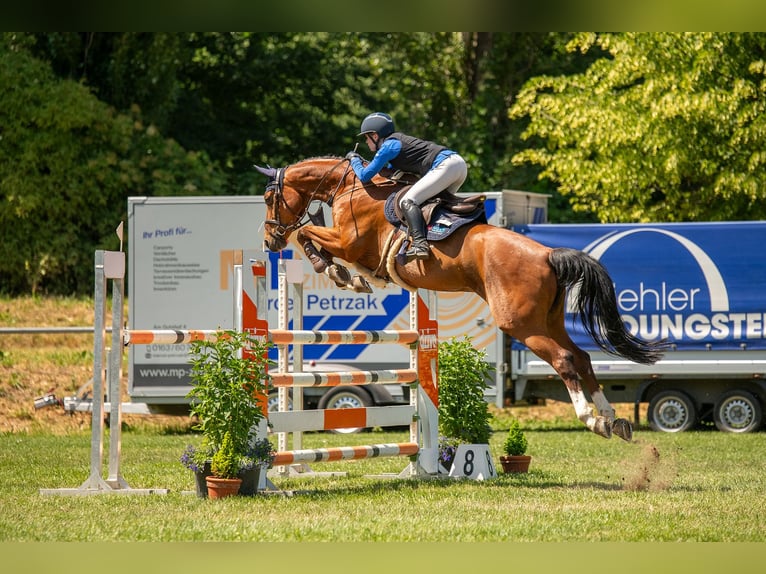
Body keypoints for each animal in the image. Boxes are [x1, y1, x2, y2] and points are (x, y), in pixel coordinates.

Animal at [255, 156, 665, 442]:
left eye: (270, 197)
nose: (270, 241)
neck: (350, 189)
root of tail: (547, 254)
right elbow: (311, 236)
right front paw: (345, 276)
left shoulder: (349, 242)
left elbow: (307, 235)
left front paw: (339, 273)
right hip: (548, 320)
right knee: (581, 357)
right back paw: (613, 419)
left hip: (521, 324)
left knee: (565, 359)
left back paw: (592, 420)